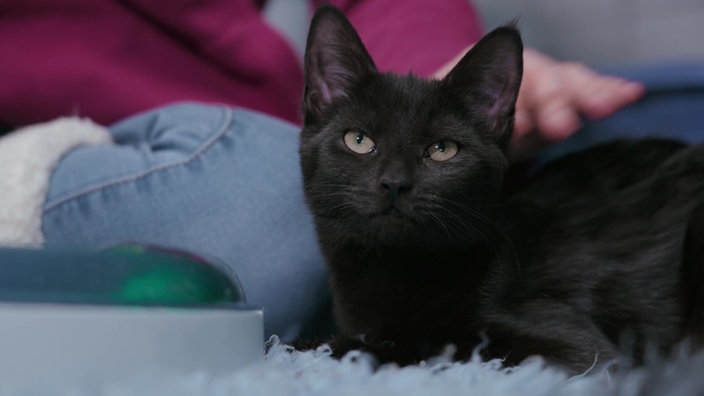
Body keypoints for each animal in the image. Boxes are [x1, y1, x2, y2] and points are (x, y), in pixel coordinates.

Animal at [296, 4, 704, 372]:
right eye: (359, 140)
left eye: (442, 149)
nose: (394, 183)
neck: (391, 269)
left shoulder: (575, 352)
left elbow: (430, 348)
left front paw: (319, 346)